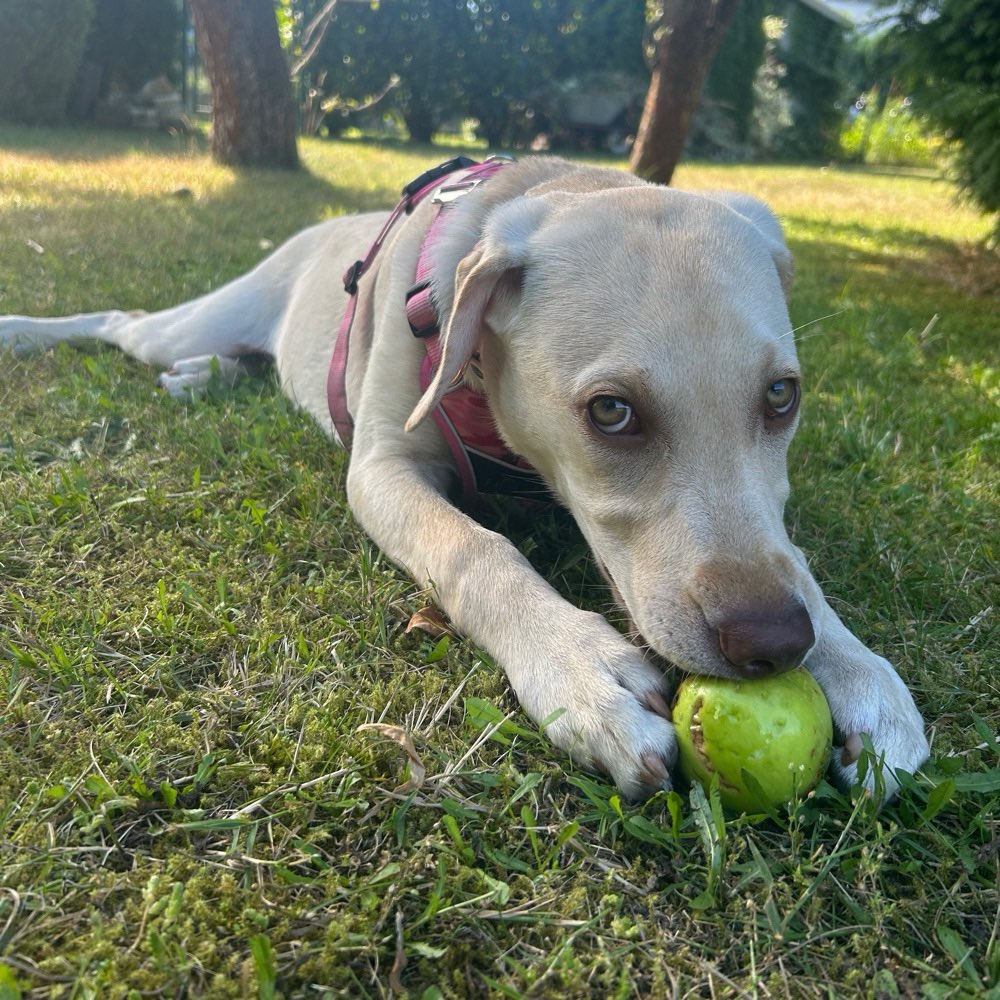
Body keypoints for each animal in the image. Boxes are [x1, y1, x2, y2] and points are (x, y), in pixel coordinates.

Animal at [1, 154, 928, 796]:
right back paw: (29, 332)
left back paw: (207, 376)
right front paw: (580, 670)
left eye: (781, 396)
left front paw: (858, 671)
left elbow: (793, 559)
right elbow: (476, 549)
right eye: (611, 412)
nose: (774, 644)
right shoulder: (382, 469)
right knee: (124, 319)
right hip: (191, 317)